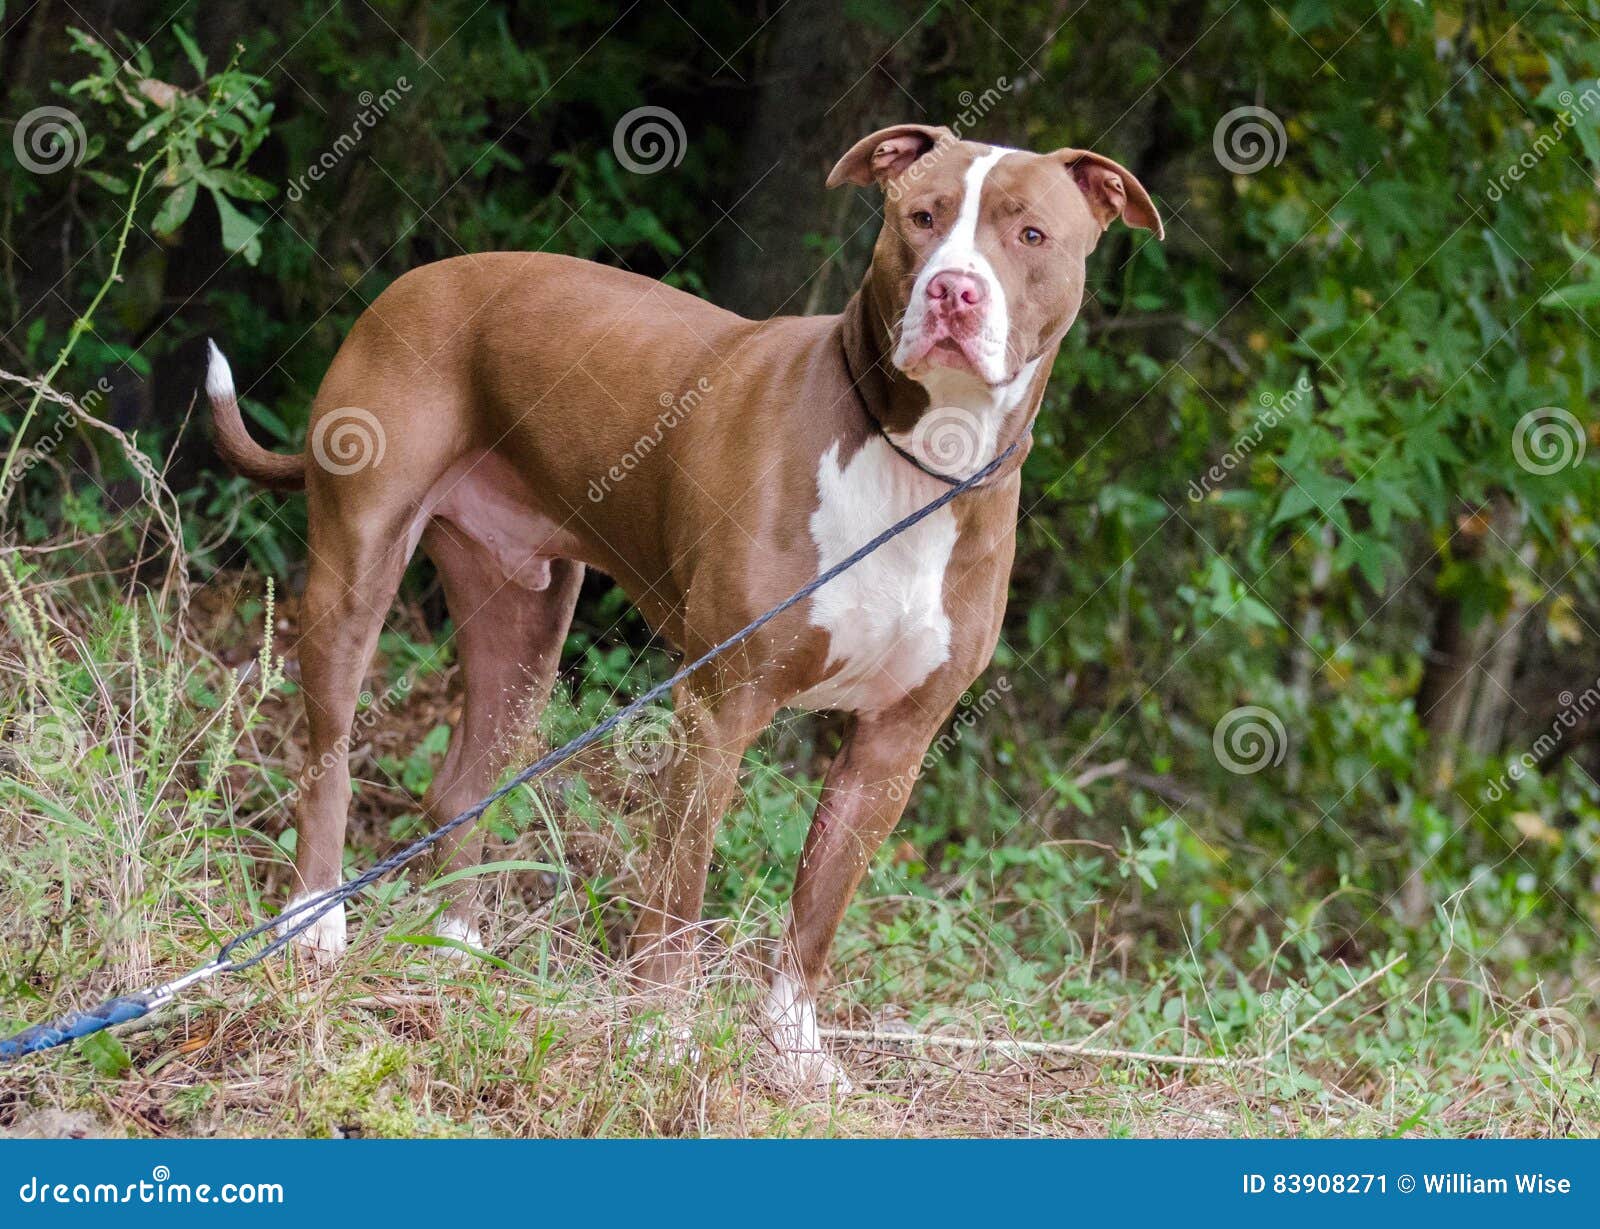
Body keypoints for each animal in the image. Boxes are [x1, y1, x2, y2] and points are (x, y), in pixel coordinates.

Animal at [206, 122, 1158, 1088]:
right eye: (921, 217)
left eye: (1030, 234)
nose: (953, 290)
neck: (922, 464)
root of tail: (413, 280)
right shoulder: (720, 706)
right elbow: (678, 889)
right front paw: (662, 1035)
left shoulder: (894, 743)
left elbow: (816, 913)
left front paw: (795, 1050)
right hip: (358, 560)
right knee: (327, 750)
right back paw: (314, 922)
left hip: (523, 621)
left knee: (461, 785)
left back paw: (458, 949)